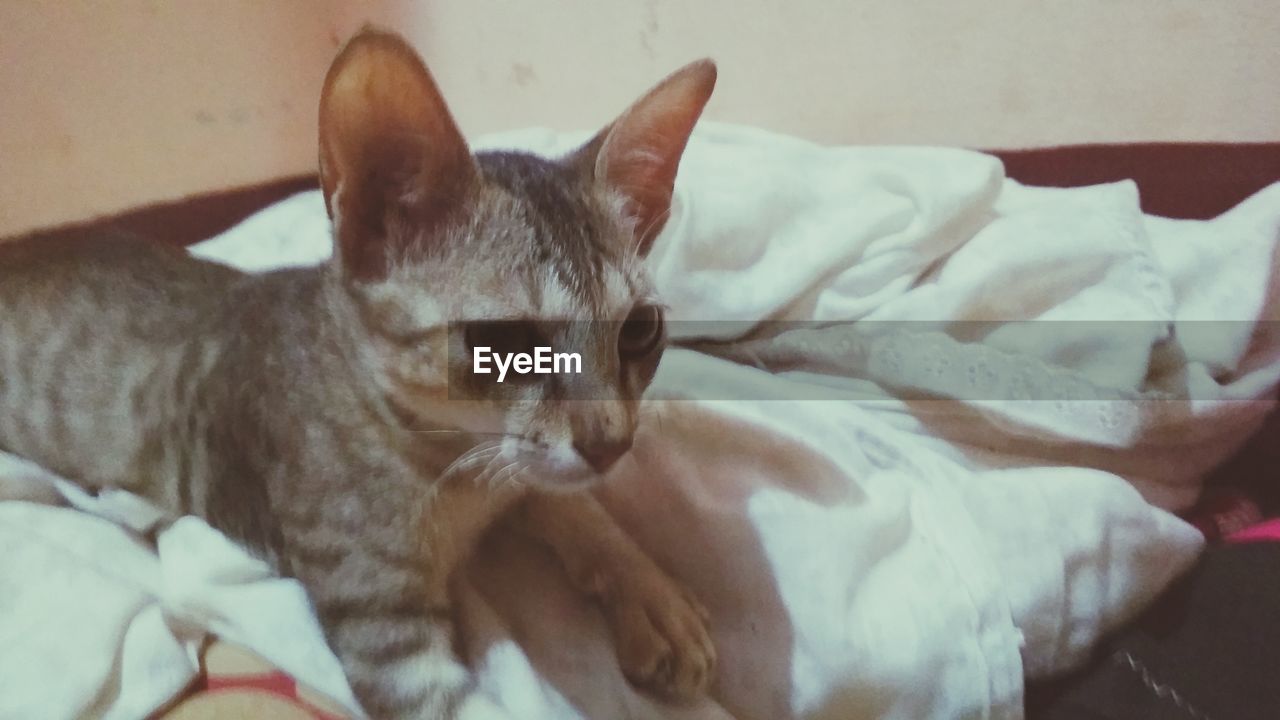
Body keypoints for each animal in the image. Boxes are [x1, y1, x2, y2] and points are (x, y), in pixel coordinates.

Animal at [0, 28, 721, 717]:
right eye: (501, 340)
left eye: (639, 330)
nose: (612, 444)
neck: (456, 469)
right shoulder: (387, 629)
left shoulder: (520, 471)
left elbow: (569, 503)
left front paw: (651, 593)